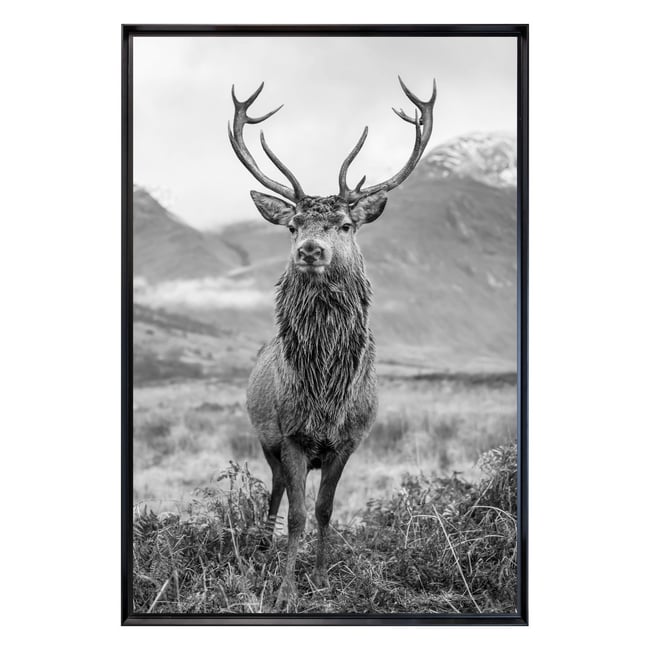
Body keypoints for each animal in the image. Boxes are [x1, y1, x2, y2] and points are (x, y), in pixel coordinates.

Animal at [228, 76, 436, 611]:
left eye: (346, 224)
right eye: (292, 225)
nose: (310, 250)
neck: (325, 394)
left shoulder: (348, 440)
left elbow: (324, 509)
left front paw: (321, 579)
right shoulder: (292, 436)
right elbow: (298, 514)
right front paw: (285, 589)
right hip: (265, 436)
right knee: (275, 490)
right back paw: (263, 547)